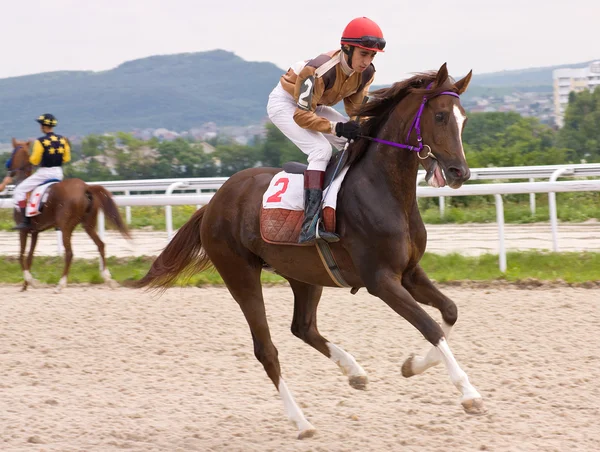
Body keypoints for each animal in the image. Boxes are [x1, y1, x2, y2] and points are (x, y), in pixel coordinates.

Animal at [5, 139, 130, 294]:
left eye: (12, 153)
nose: (8, 168)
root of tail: (85, 187)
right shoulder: (35, 232)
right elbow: (29, 257)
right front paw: (25, 285)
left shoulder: (23, 230)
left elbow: (21, 256)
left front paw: (30, 281)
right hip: (88, 225)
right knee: (100, 244)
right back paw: (108, 279)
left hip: (66, 227)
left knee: (69, 253)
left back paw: (61, 284)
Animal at [135, 63, 482, 438]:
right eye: (441, 115)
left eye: (464, 119)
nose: (459, 172)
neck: (383, 191)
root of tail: (214, 201)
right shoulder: (381, 281)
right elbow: (430, 326)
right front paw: (469, 394)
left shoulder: (409, 272)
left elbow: (449, 312)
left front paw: (413, 365)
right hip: (240, 275)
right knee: (267, 350)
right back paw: (302, 422)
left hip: (304, 275)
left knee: (302, 327)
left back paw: (354, 372)